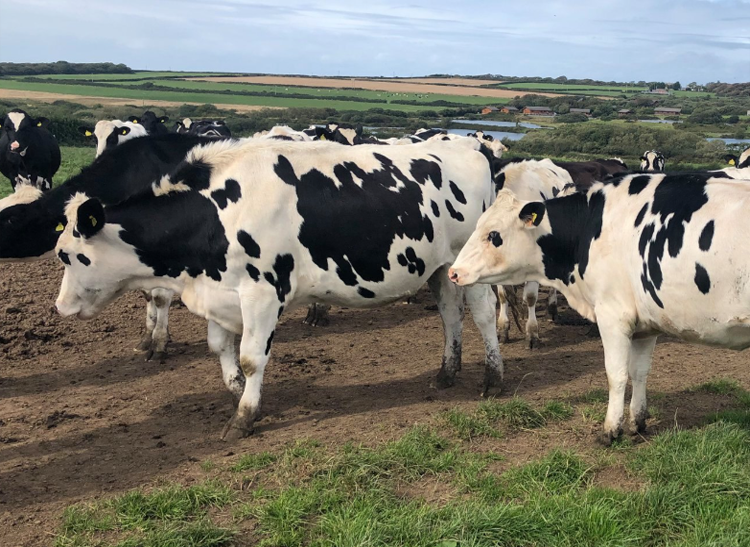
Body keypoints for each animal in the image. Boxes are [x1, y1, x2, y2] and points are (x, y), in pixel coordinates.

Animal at [54, 137, 503, 441]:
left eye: (68, 255)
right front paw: (240, 391)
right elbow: (220, 347)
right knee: (450, 315)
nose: (60, 307)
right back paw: (446, 372)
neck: (215, 214)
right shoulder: (220, 293)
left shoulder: (262, 294)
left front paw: (244, 415)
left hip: (468, 266)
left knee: (482, 316)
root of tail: (469, 145)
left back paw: (493, 378)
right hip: (441, 268)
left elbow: (252, 357)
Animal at [449, 171, 750, 445]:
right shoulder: (646, 324)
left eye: (493, 234)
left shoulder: (613, 316)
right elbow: (639, 372)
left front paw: (611, 430)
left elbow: (616, 374)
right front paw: (637, 422)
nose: (453, 272)